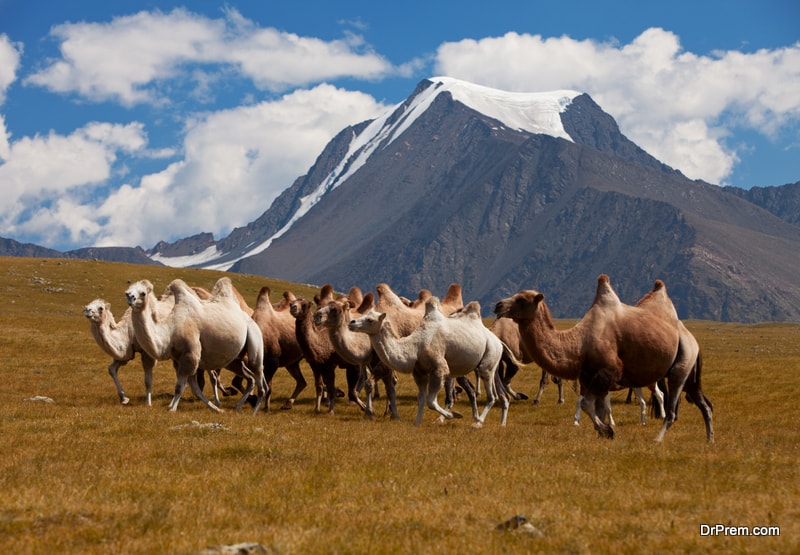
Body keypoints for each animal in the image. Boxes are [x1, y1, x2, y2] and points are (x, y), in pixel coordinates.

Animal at [348, 298, 510, 428]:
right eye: (364, 315)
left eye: (370, 320)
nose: (351, 322)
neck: (415, 347)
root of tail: (498, 341)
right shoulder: (419, 372)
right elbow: (422, 398)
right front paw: (417, 422)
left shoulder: (440, 368)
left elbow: (431, 401)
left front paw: (453, 415)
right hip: (491, 365)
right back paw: (494, 422)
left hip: (488, 359)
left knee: (491, 395)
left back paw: (478, 423)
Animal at [494, 274, 712, 444]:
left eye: (522, 299)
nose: (498, 305)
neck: (578, 343)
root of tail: (692, 339)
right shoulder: (589, 378)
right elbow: (596, 408)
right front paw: (604, 433)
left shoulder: (606, 373)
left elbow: (586, 404)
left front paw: (607, 430)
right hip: (688, 372)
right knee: (704, 404)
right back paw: (710, 439)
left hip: (680, 367)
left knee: (673, 406)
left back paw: (658, 439)